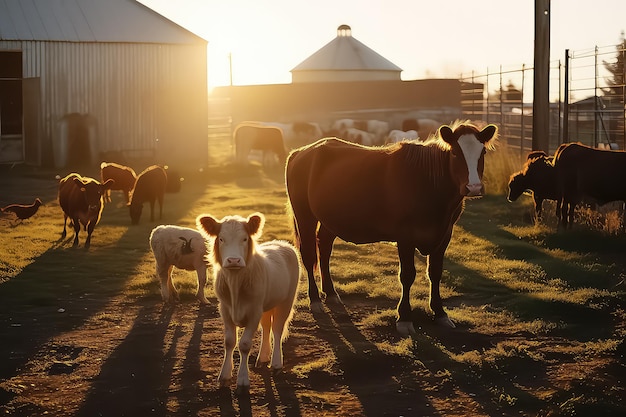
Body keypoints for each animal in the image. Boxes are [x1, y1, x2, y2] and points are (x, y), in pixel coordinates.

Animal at [197, 213, 300, 392]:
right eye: (221, 239)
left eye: (244, 238)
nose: (233, 260)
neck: (235, 283)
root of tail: (281, 243)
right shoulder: (225, 310)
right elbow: (229, 341)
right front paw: (224, 376)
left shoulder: (253, 312)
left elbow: (244, 344)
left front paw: (243, 380)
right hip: (266, 305)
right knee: (266, 327)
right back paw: (263, 358)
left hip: (286, 301)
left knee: (277, 329)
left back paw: (276, 363)